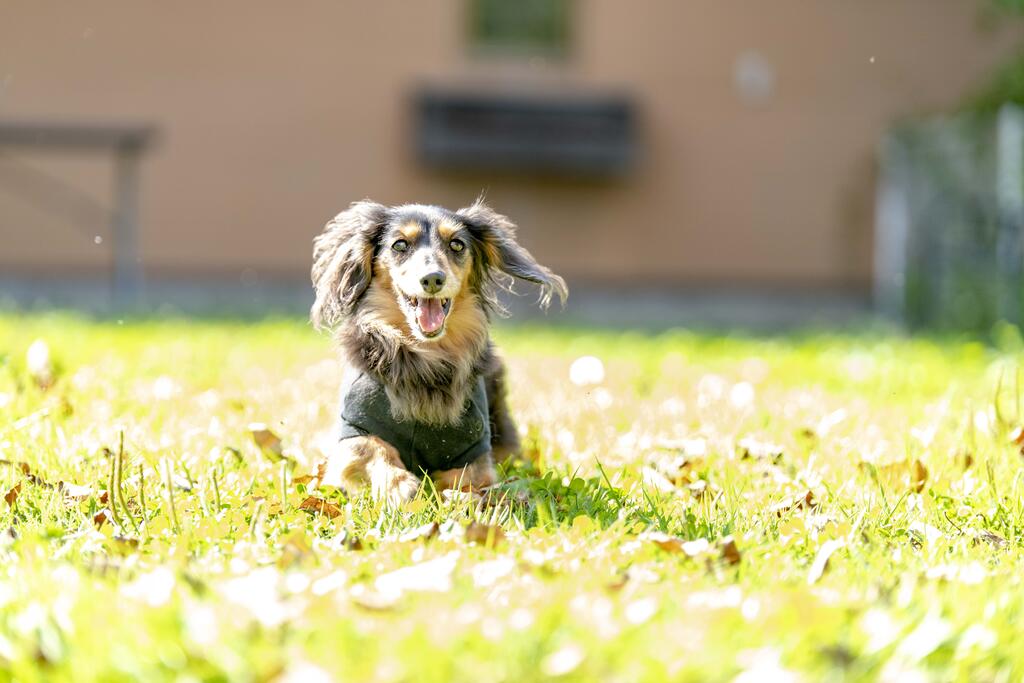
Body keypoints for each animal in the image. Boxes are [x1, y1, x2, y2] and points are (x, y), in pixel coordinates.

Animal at [311, 197, 569, 501]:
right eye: (400, 245)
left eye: (456, 244)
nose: (433, 279)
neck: (426, 358)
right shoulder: (356, 428)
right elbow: (373, 448)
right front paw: (400, 484)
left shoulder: (472, 449)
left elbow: (468, 482)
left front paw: (462, 498)